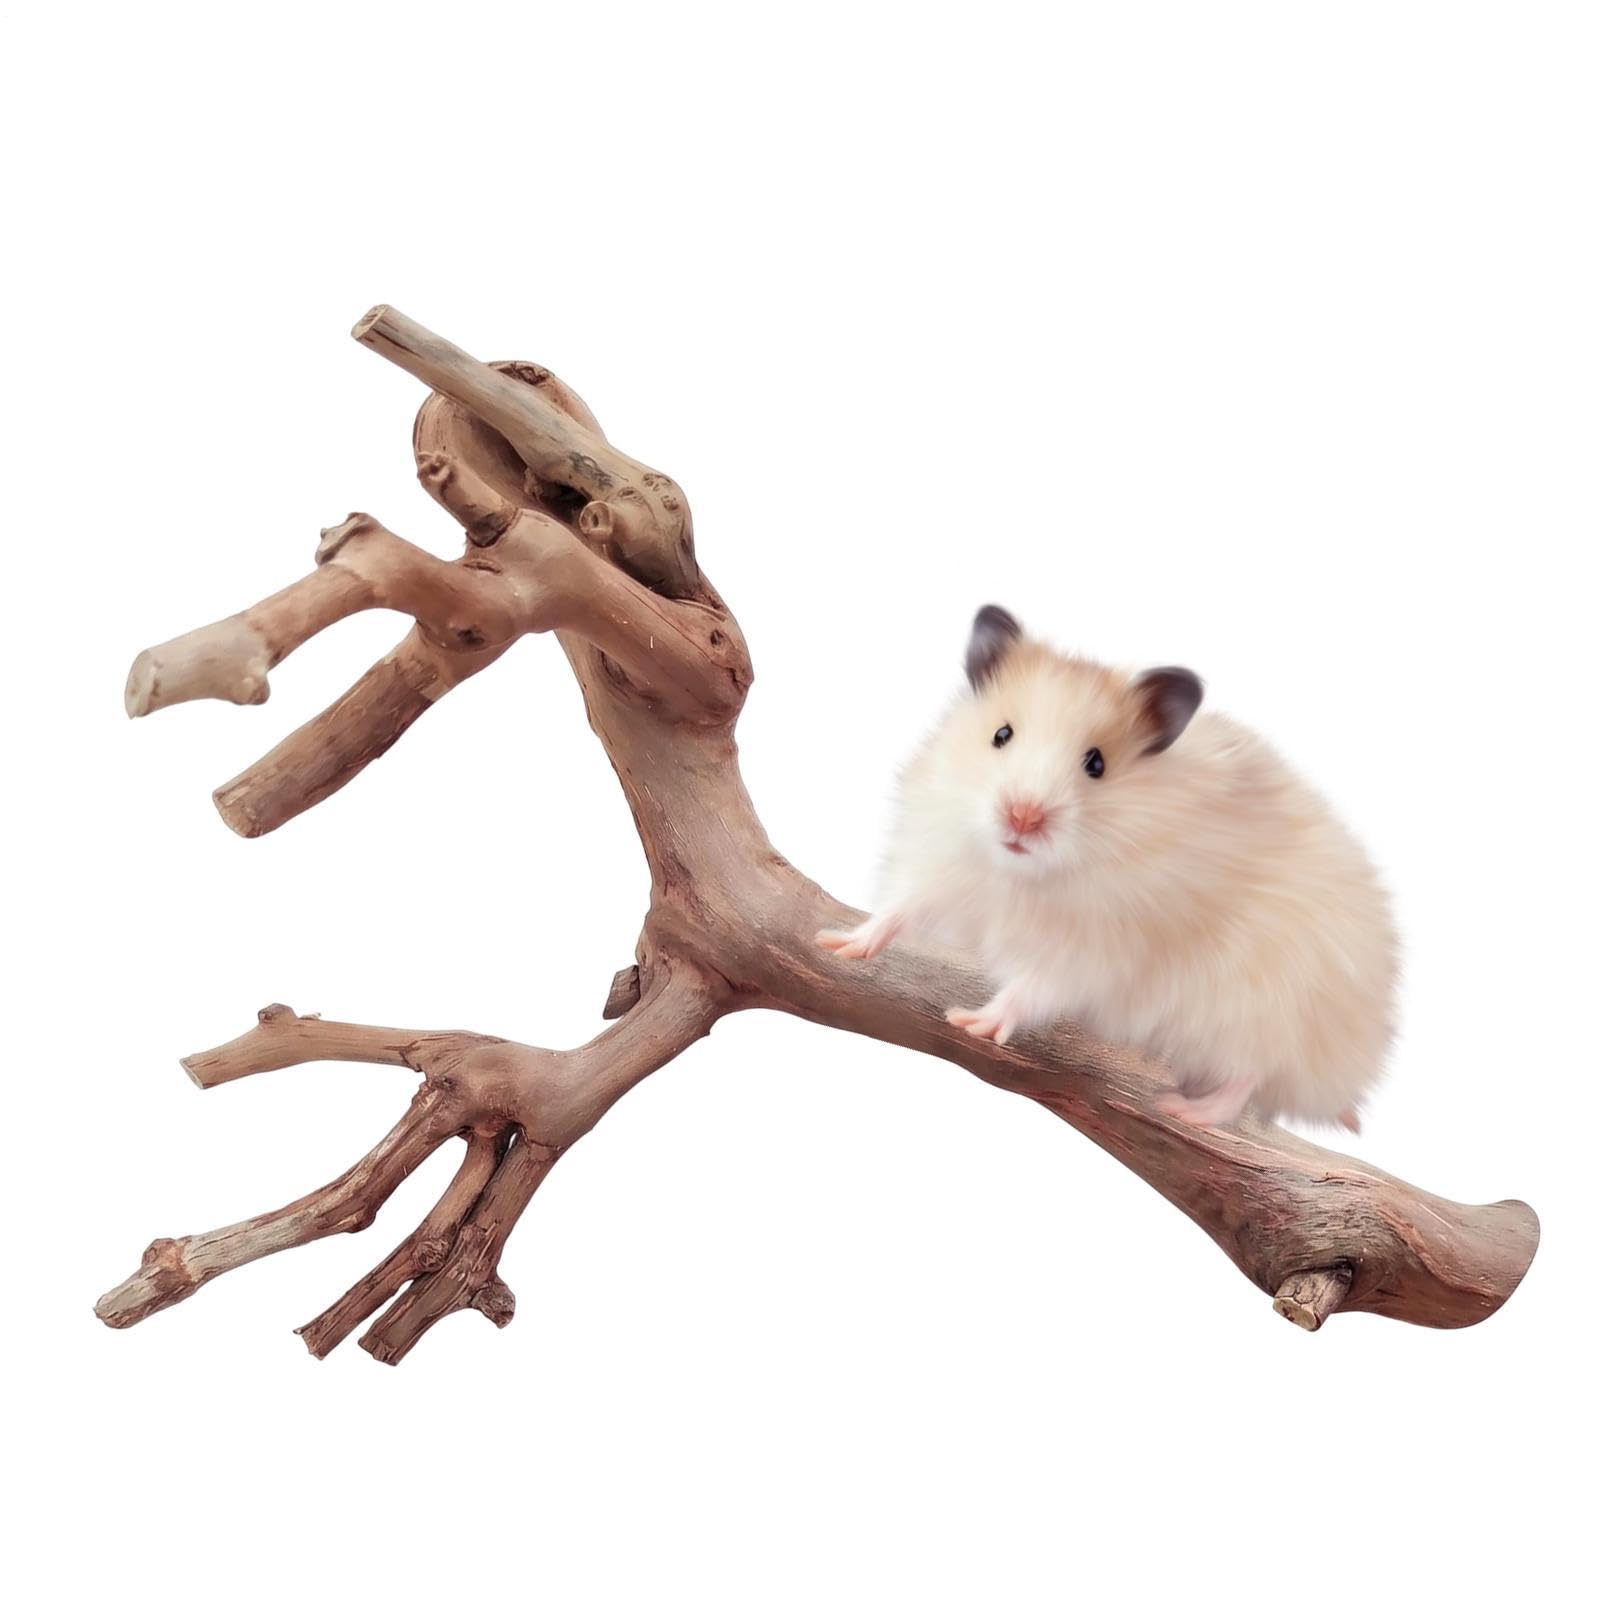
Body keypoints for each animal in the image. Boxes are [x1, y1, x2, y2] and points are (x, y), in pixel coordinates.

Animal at [817, 605, 1398, 1131]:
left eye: (1096, 764)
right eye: (1001, 735)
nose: (1023, 817)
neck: (1026, 874)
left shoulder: (1097, 949)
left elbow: (1033, 986)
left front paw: (973, 1022)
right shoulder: (946, 867)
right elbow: (899, 909)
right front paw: (839, 944)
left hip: (1261, 1010)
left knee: (1248, 1077)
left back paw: (1183, 1109)